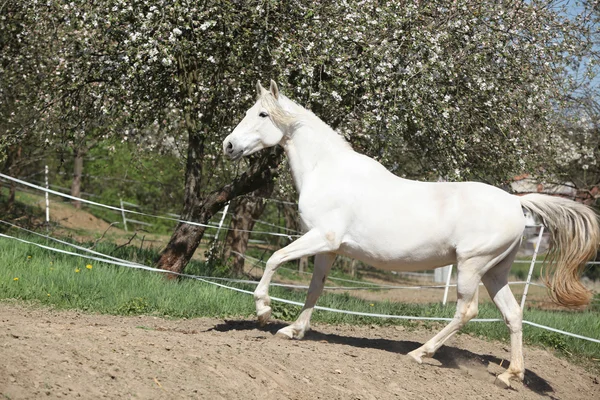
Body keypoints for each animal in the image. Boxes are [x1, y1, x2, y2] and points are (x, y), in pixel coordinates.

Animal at [221, 80, 600, 388]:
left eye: (262, 114)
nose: (228, 146)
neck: (328, 171)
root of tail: (516, 202)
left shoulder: (322, 238)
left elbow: (274, 259)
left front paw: (264, 310)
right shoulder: (328, 249)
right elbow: (315, 288)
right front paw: (294, 331)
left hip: (471, 266)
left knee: (467, 311)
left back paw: (421, 353)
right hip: (495, 272)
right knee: (513, 315)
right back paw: (510, 375)